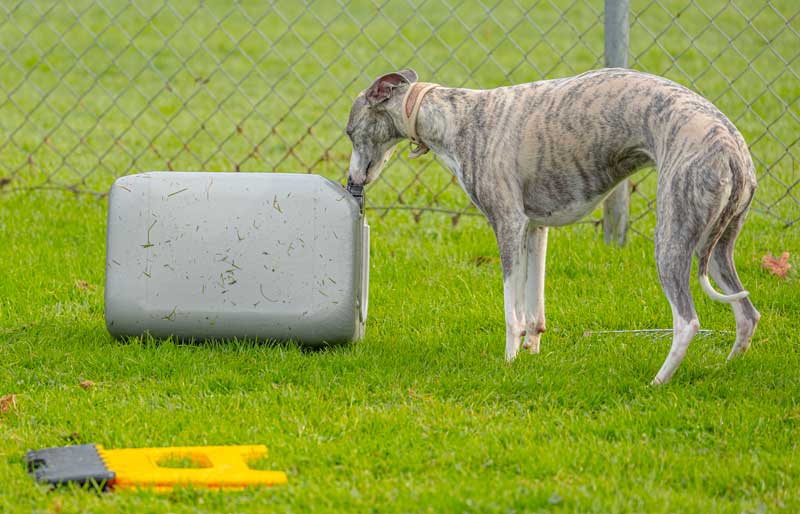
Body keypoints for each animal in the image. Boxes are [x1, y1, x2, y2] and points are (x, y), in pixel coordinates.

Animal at [345, 68, 759, 384]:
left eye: (350, 132)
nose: (351, 181)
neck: (456, 117)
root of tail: (730, 147)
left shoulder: (507, 223)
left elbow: (511, 310)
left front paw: (509, 360)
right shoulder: (534, 228)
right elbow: (534, 309)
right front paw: (532, 352)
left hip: (672, 235)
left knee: (688, 322)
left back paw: (658, 381)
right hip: (717, 246)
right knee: (747, 314)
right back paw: (727, 369)